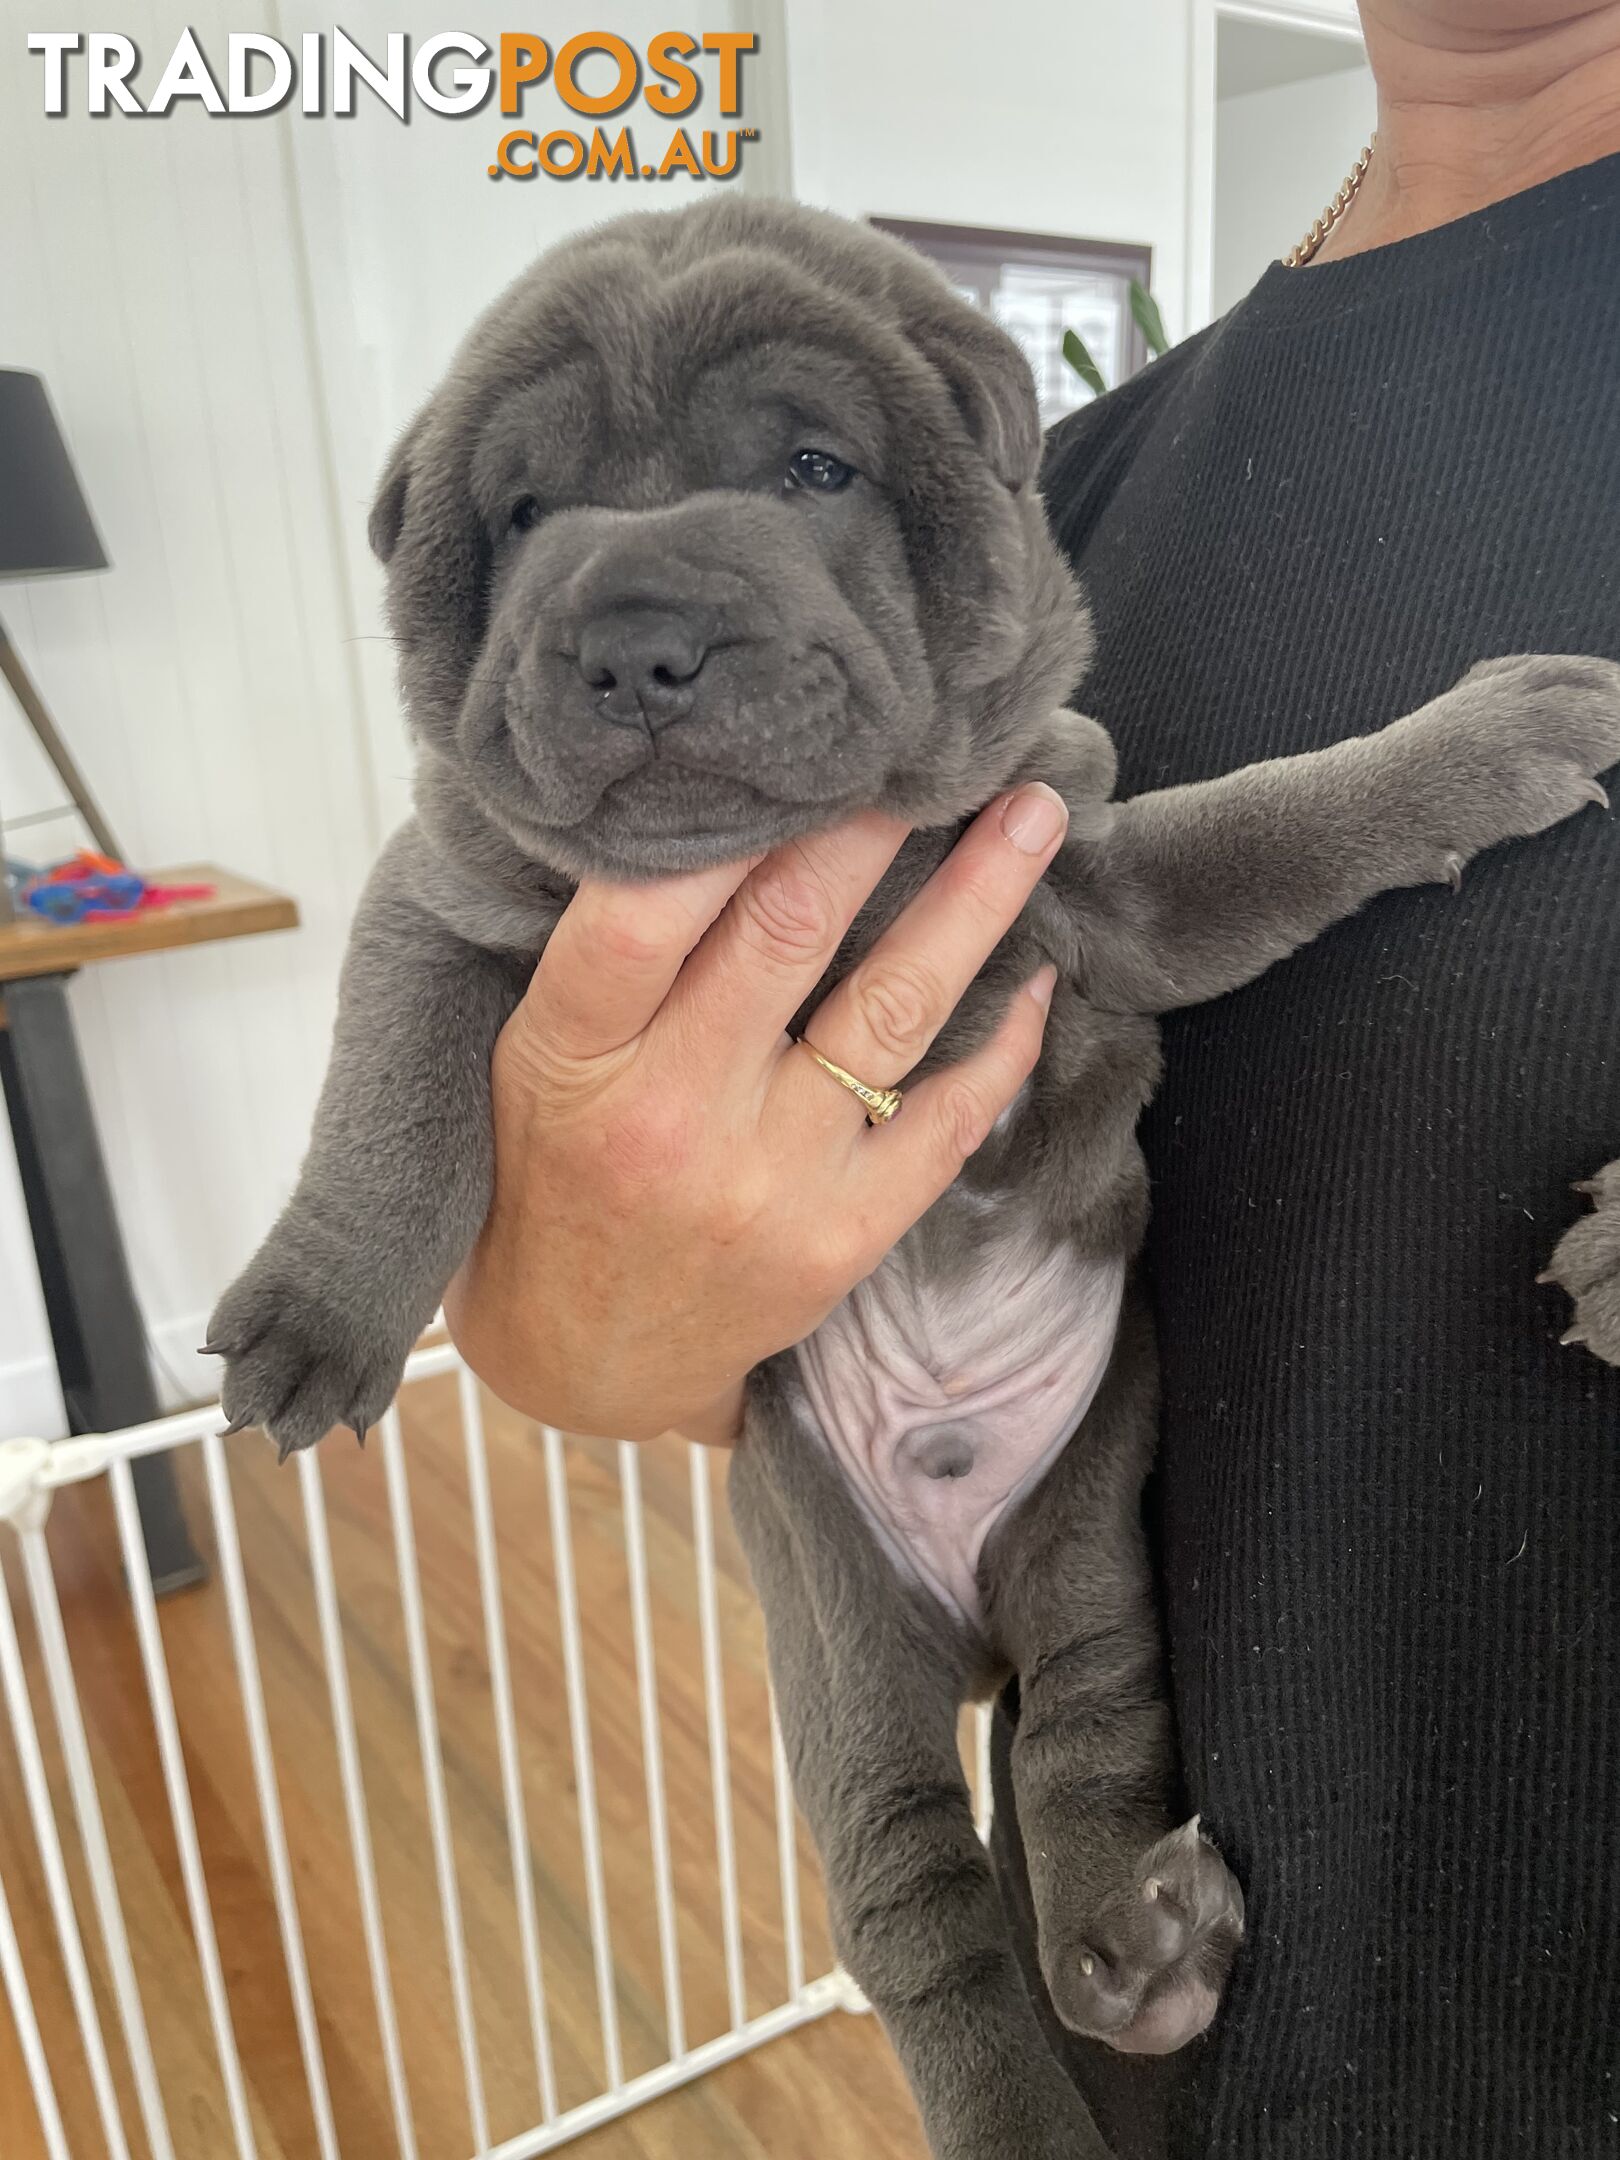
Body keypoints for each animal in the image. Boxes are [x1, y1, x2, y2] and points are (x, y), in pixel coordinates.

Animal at [209, 198, 1620, 2142]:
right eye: (523, 515)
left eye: (816, 469)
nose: (636, 637)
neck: (814, 870)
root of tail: (962, 1624)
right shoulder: (446, 896)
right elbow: (392, 1093)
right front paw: (316, 1314)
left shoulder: (1095, 878)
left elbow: (1297, 812)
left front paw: (1500, 735)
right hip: (834, 1633)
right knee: (921, 1911)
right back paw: (1029, 2088)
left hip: (1088, 1522)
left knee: (1086, 1734)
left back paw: (1135, 1949)